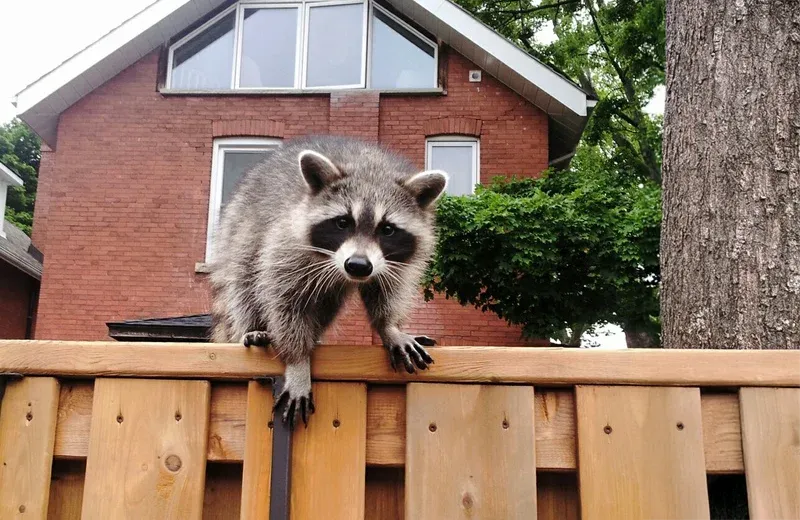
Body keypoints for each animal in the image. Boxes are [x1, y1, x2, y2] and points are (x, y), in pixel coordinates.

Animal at [209, 134, 446, 426]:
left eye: (388, 229)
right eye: (343, 222)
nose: (358, 266)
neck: (370, 168)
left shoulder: (392, 262)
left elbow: (388, 289)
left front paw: (389, 327)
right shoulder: (288, 242)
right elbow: (284, 298)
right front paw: (298, 360)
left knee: (326, 303)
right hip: (240, 229)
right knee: (245, 279)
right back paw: (252, 326)